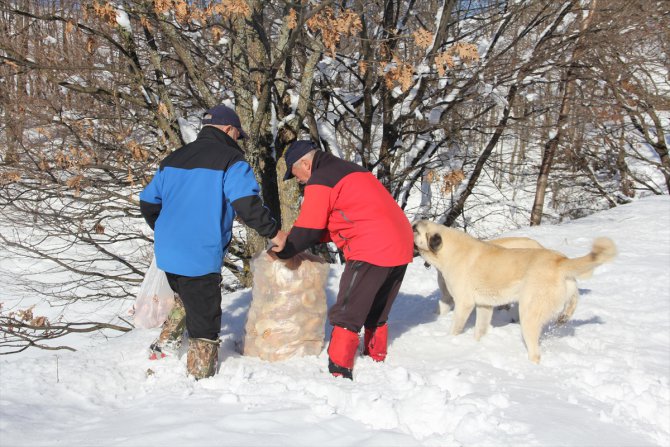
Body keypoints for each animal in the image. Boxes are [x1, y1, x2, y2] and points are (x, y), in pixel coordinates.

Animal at [414, 220, 620, 364]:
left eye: (415, 229)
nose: (412, 224)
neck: (448, 249)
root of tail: (560, 261)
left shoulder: (464, 303)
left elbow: (455, 329)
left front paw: (449, 342)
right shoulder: (484, 306)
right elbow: (480, 330)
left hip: (529, 313)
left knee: (535, 353)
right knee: (574, 299)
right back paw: (565, 316)